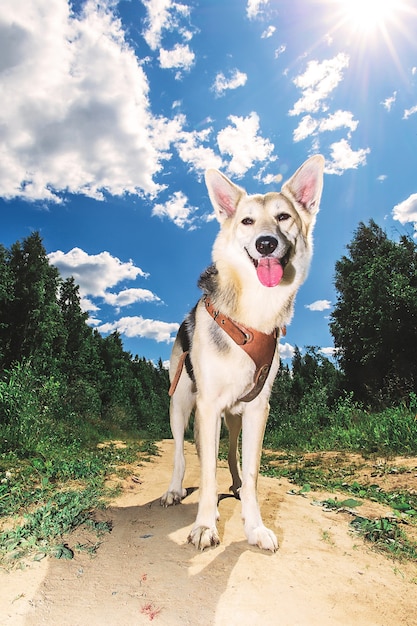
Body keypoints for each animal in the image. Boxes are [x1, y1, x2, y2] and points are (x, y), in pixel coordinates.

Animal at [161, 154, 324, 548]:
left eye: (283, 217)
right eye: (247, 221)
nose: (266, 243)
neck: (253, 315)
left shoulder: (257, 410)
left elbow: (250, 474)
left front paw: (255, 527)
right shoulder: (206, 407)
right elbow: (205, 472)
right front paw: (205, 525)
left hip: (233, 418)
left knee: (232, 457)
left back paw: (231, 487)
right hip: (181, 405)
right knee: (181, 454)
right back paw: (175, 491)